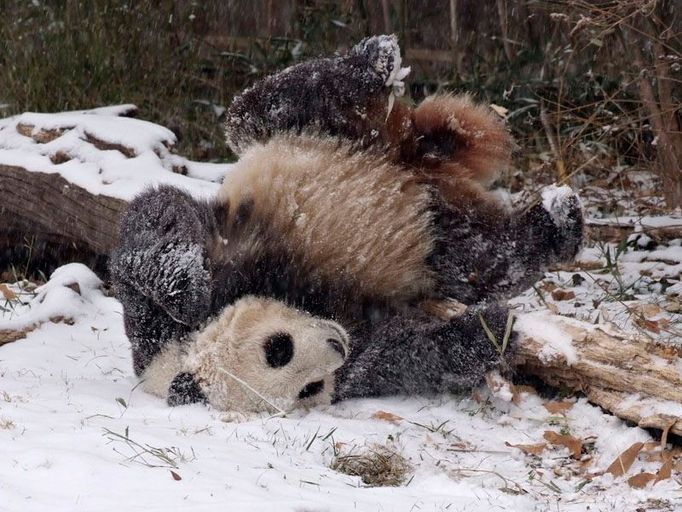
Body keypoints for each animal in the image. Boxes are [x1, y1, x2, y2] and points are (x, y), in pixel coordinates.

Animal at [109, 35, 580, 412]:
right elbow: (402, 354)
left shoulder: (206, 275)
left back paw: (375, 61)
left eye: (277, 348)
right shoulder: (358, 352)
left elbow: (155, 223)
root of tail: (413, 160)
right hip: (443, 228)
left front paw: (185, 290)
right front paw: (493, 331)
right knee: (481, 259)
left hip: (310, 132)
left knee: (275, 102)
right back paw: (555, 225)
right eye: (307, 386)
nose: (337, 345)